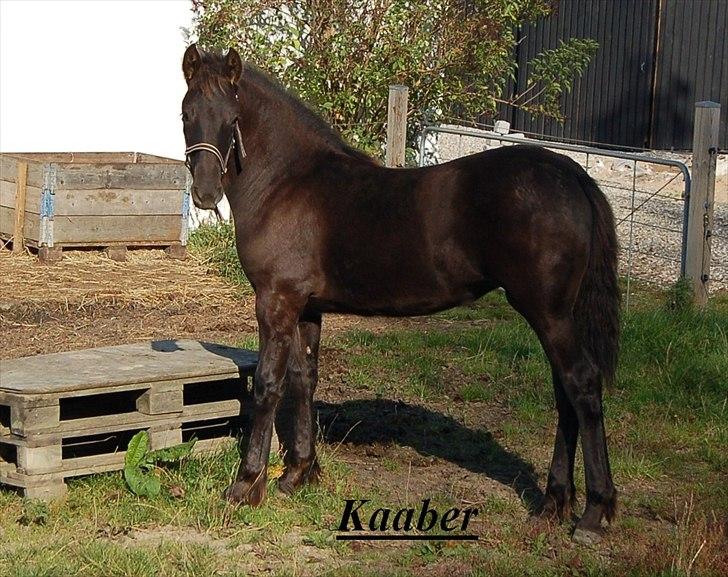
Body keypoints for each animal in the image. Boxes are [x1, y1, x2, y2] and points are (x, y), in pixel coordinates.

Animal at [179, 46, 616, 544]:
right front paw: (298, 473)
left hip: (549, 312)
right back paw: (554, 503)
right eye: (187, 114)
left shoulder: (276, 302)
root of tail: (569, 172)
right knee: (565, 393)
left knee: (581, 384)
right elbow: (304, 380)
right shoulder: (306, 309)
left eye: (232, 118)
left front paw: (247, 483)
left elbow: (269, 384)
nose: (205, 192)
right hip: (555, 315)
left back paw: (593, 513)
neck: (286, 183)